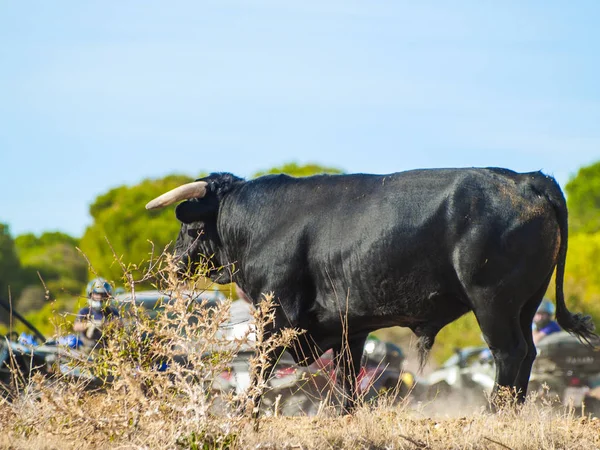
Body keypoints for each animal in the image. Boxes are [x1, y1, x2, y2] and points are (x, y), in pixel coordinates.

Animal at [145, 167, 596, 410]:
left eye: (189, 227)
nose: (171, 263)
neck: (258, 222)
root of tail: (527, 179)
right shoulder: (349, 325)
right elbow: (348, 382)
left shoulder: (276, 317)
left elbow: (259, 373)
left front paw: (244, 415)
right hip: (525, 303)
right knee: (528, 354)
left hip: (493, 303)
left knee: (509, 354)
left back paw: (493, 413)